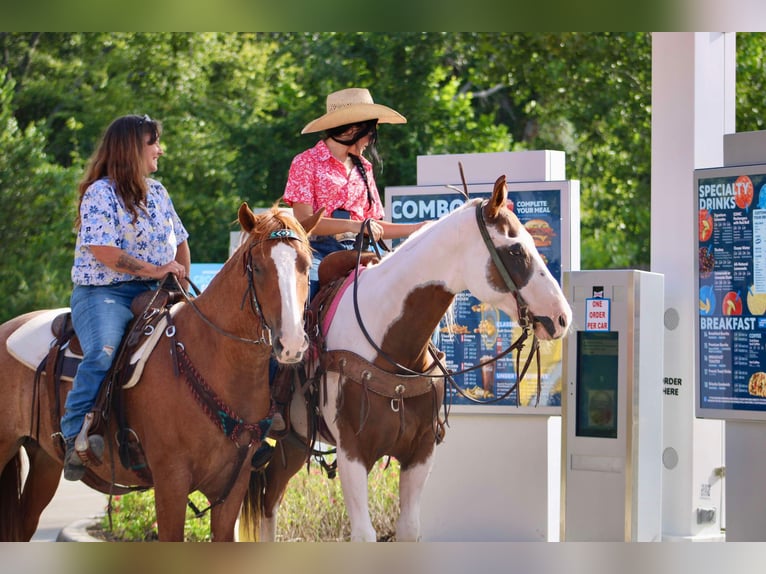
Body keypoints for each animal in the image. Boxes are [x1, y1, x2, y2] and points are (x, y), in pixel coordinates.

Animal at [0, 205, 320, 544]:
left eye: (305, 265)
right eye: (257, 268)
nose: (292, 343)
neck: (215, 359)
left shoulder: (233, 487)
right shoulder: (171, 481)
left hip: (44, 461)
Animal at [243, 176, 572, 544]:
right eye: (515, 249)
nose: (561, 317)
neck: (389, 341)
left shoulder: (421, 452)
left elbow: (409, 529)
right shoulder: (352, 453)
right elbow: (364, 534)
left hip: (297, 441)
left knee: (270, 496)